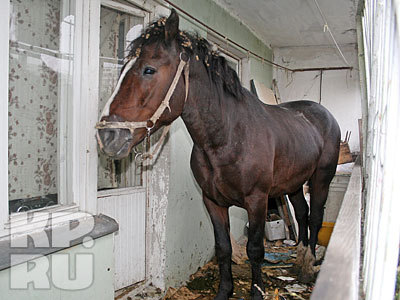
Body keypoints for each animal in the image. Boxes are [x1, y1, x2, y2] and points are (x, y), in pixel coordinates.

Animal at [96, 9, 340, 300]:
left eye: (149, 70)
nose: (107, 136)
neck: (228, 136)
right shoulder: (212, 201)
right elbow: (223, 248)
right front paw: (225, 291)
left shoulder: (257, 201)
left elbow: (255, 250)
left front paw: (257, 292)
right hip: (292, 183)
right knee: (301, 213)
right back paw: (300, 258)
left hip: (320, 179)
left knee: (315, 216)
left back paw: (308, 264)